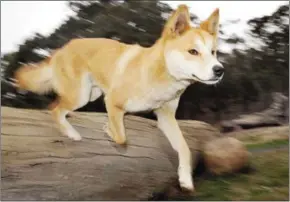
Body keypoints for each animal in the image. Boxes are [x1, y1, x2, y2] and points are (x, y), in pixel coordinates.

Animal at [14, 4, 224, 191]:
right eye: (193, 51)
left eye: (213, 52)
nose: (219, 70)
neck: (161, 76)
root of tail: (61, 49)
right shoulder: (112, 102)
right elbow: (122, 138)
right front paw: (109, 129)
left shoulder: (166, 117)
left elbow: (185, 148)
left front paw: (185, 179)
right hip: (81, 95)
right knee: (54, 109)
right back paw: (71, 133)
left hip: (91, 94)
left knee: (57, 105)